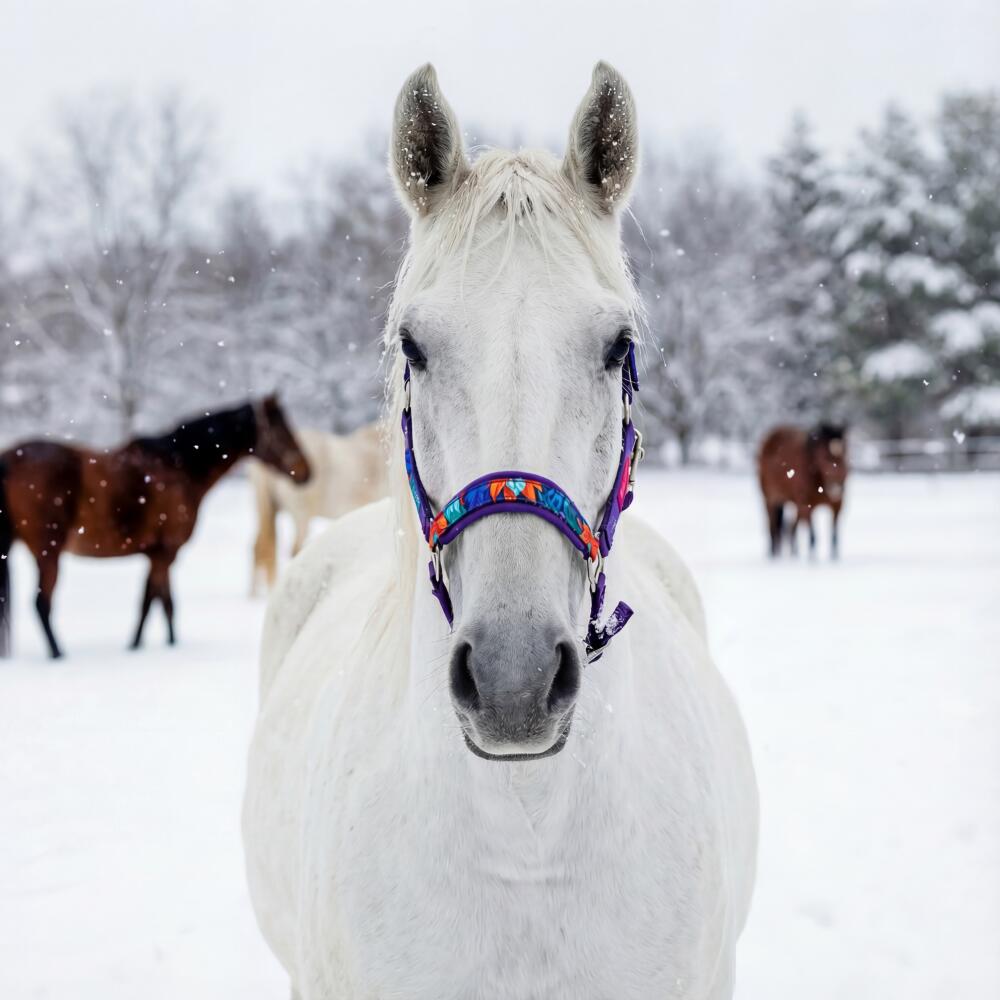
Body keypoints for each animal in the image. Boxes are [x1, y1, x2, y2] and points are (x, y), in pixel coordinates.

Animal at [0, 395, 309, 658]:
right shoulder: (165, 552)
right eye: (283, 429)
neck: (180, 467)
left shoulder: (158, 554)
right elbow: (155, 603)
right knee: (42, 605)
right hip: (48, 552)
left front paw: (150, 646)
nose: (307, 472)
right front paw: (147, 647)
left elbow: (160, 603)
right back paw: (58, 655)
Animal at [757, 423, 848, 559]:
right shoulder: (807, 506)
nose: (838, 485)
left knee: (790, 528)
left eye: (845, 453)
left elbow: (834, 536)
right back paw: (773, 555)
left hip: (795, 504)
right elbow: (813, 537)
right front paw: (812, 560)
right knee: (772, 527)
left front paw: (834, 559)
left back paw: (794, 554)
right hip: (770, 500)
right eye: (825, 457)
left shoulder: (837, 506)